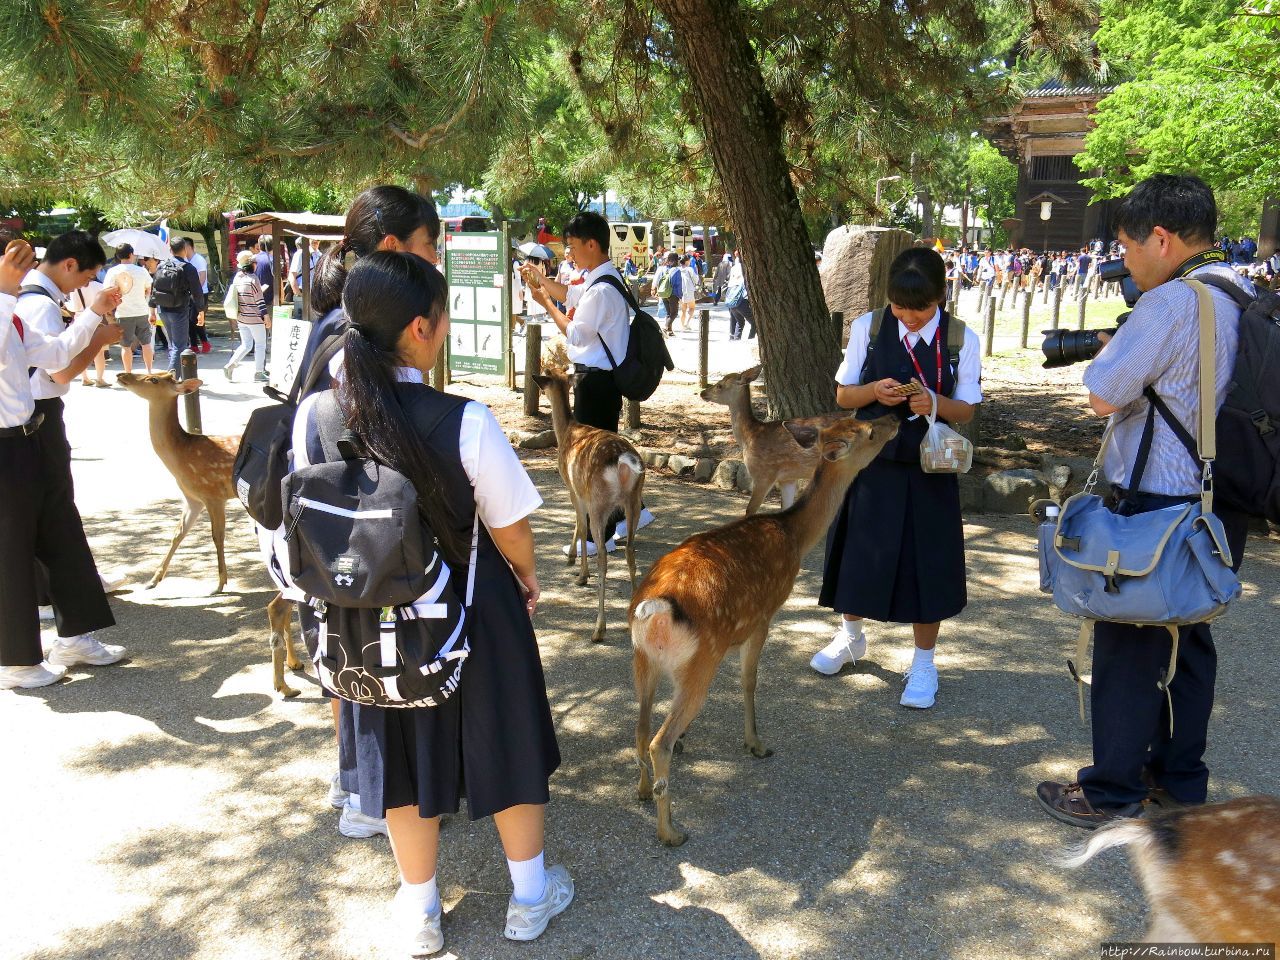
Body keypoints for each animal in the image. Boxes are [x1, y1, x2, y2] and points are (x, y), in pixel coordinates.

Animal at [115, 371, 304, 701]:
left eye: (153, 379)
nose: (122, 375)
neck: (180, 459)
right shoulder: (196, 499)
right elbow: (180, 535)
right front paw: (154, 580)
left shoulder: (206, 495)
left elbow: (209, 536)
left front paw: (217, 582)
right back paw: (289, 673)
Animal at [532, 368, 645, 647]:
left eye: (546, 375)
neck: (566, 432)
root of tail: (623, 462)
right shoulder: (580, 491)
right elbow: (578, 523)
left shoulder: (573, 487)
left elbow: (580, 526)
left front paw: (579, 569)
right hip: (633, 500)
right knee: (630, 549)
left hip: (599, 502)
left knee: (603, 555)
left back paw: (598, 628)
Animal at [624, 414, 896, 849]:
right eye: (869, 432)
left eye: (858, 420)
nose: (896, 418)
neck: (795, 536)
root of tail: (655, 609)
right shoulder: (764, 616)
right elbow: (750, 681)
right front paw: (756, 744)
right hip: (700, 659)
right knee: (658, 741)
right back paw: (671, 831)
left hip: (643, 659)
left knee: (640, 726)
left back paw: (644, 790)